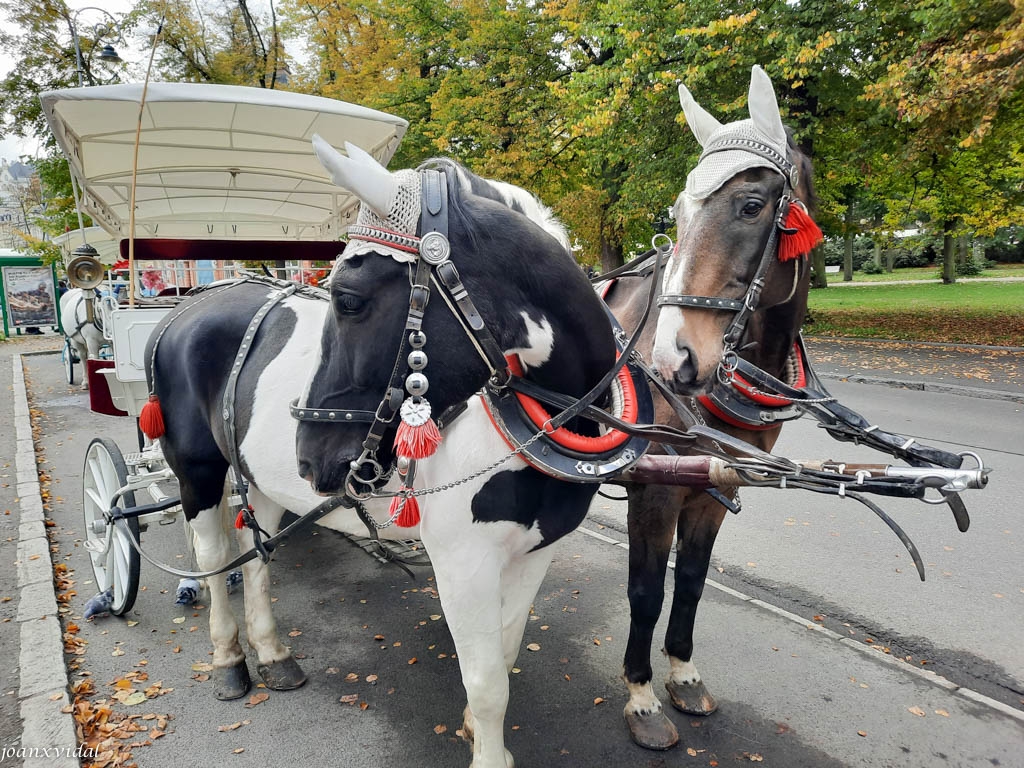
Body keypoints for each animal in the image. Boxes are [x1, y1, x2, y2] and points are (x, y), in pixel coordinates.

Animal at [602, 66, 819, 753]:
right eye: (677, 212)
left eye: (751, 206)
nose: (674, 358)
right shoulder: (655, 489)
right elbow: (646, 590)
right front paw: (642, 697)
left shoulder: (715, 487)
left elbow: (692, 581)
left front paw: (682, 672)